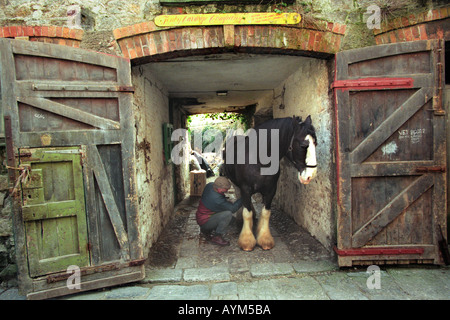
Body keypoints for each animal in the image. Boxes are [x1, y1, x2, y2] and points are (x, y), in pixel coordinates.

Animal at [221, 116, 316, 251]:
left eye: (316, 143)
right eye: (303, 145)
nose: (310, 175)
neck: (258, 160)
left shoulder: (271, 190)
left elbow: (266, 213)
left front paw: (265, 239)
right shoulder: (245, 188)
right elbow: (247, 213)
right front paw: (247, 241)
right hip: (235, 184)